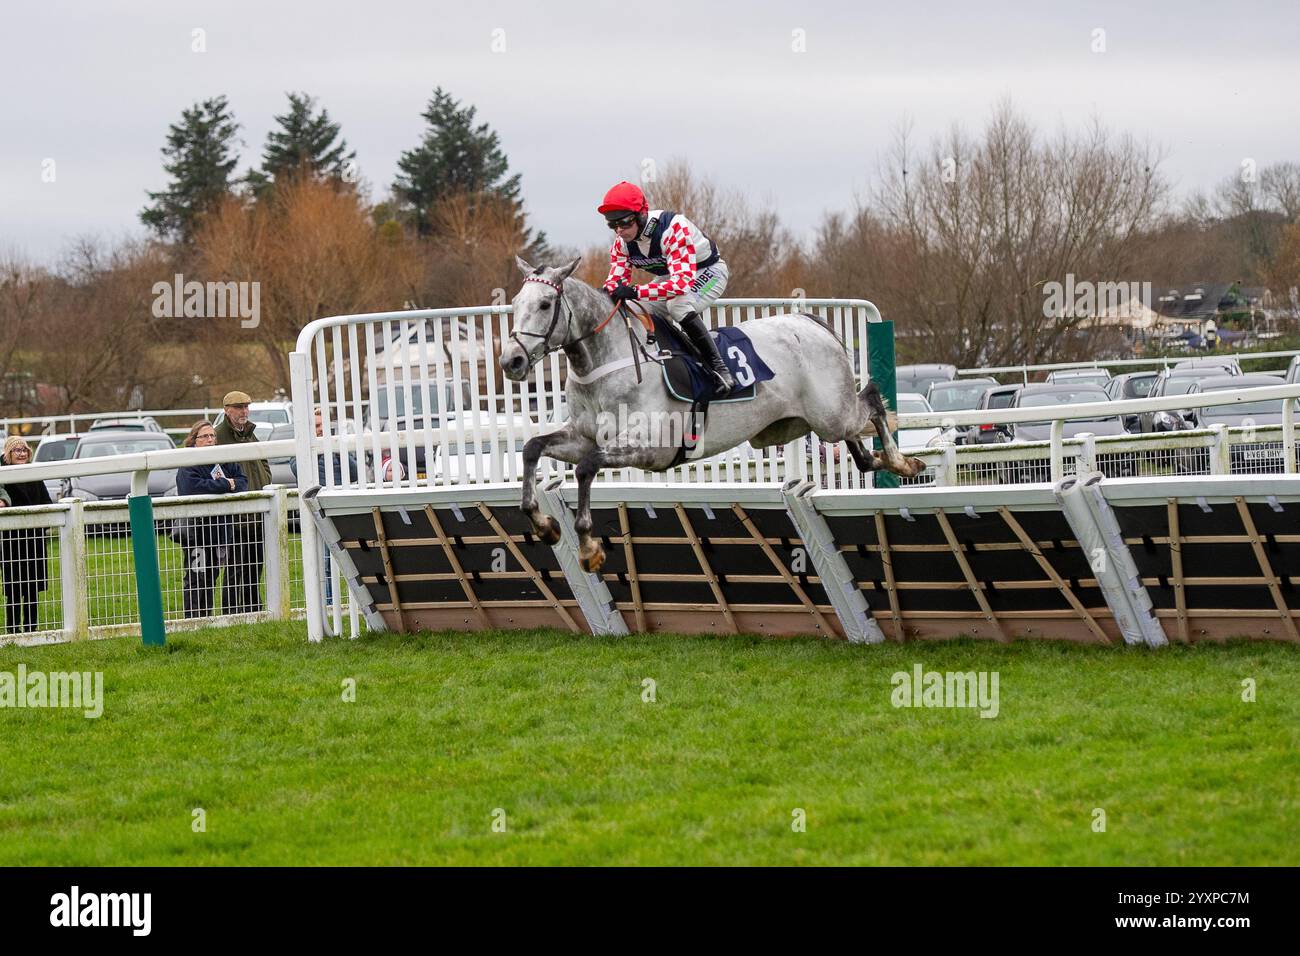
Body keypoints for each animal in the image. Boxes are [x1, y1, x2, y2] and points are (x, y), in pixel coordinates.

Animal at [496, 254, 925, 572]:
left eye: (545, 304)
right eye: (515, 305)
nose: (510, 361)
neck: (605, 362)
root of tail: (809, 321)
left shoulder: (649, 446)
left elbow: (587, 467)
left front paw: (588, 548)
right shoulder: (583, 436)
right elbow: (533, 448)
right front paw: (544, 525)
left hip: (831, 414)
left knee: (872, 400)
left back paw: (902, 462)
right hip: (817, 420)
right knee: (860, 445)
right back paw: (883, 459)